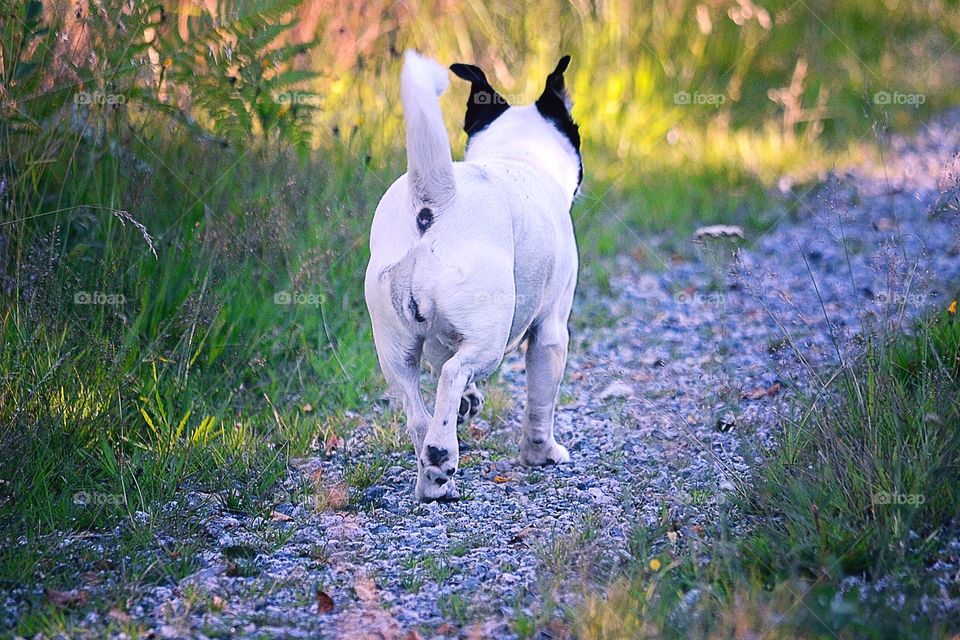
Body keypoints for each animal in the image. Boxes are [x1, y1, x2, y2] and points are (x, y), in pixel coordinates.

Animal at [364, 50, 580, 502]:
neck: (518, 156)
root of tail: (436, 201)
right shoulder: (551, 332)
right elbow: (540, 403)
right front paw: (541, 454)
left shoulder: (438, 338)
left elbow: (442, 360)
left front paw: (469, 403)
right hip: (490, 341)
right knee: (452, 375)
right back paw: (442, 455)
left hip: (395, 347)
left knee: (417, 409)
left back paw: (433, 479)